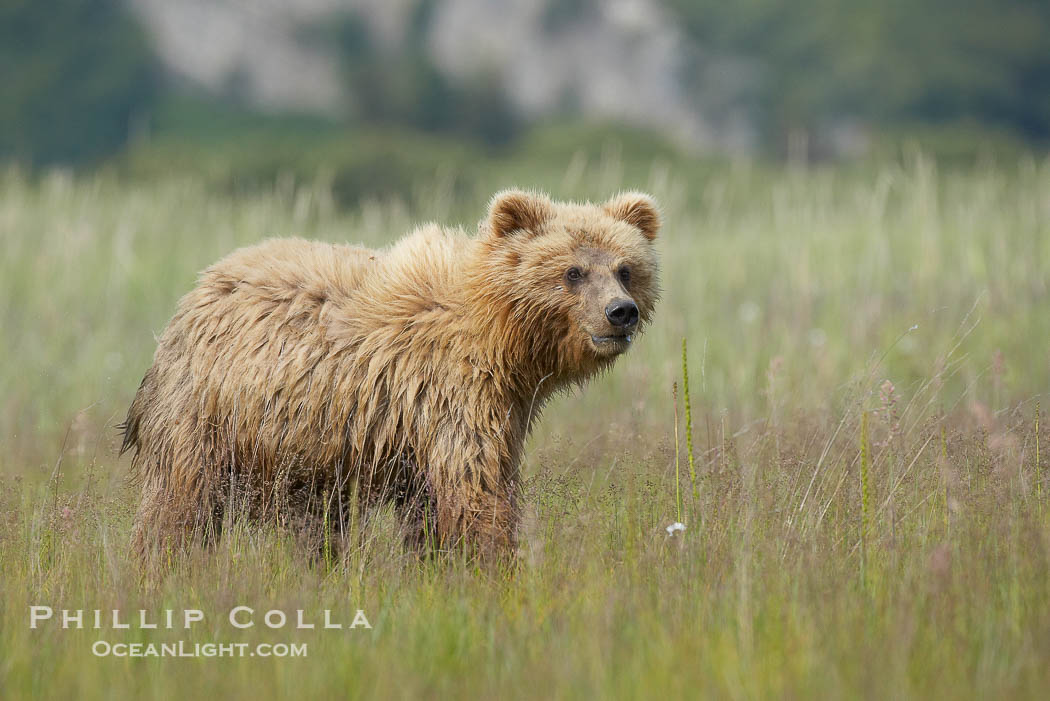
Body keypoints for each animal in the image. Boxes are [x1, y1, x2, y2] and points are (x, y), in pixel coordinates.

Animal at [120, 189, 661, 560]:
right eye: (573, 272)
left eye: (626, 269)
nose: (621, 312)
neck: (499, 334)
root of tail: (195, 294)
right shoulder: (452, 393)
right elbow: (474, 486)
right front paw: (495, 567)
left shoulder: (501, 407)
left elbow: (440, 506)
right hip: (211, 416)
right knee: (179, 505)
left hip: (300, 446)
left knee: (312, 525)